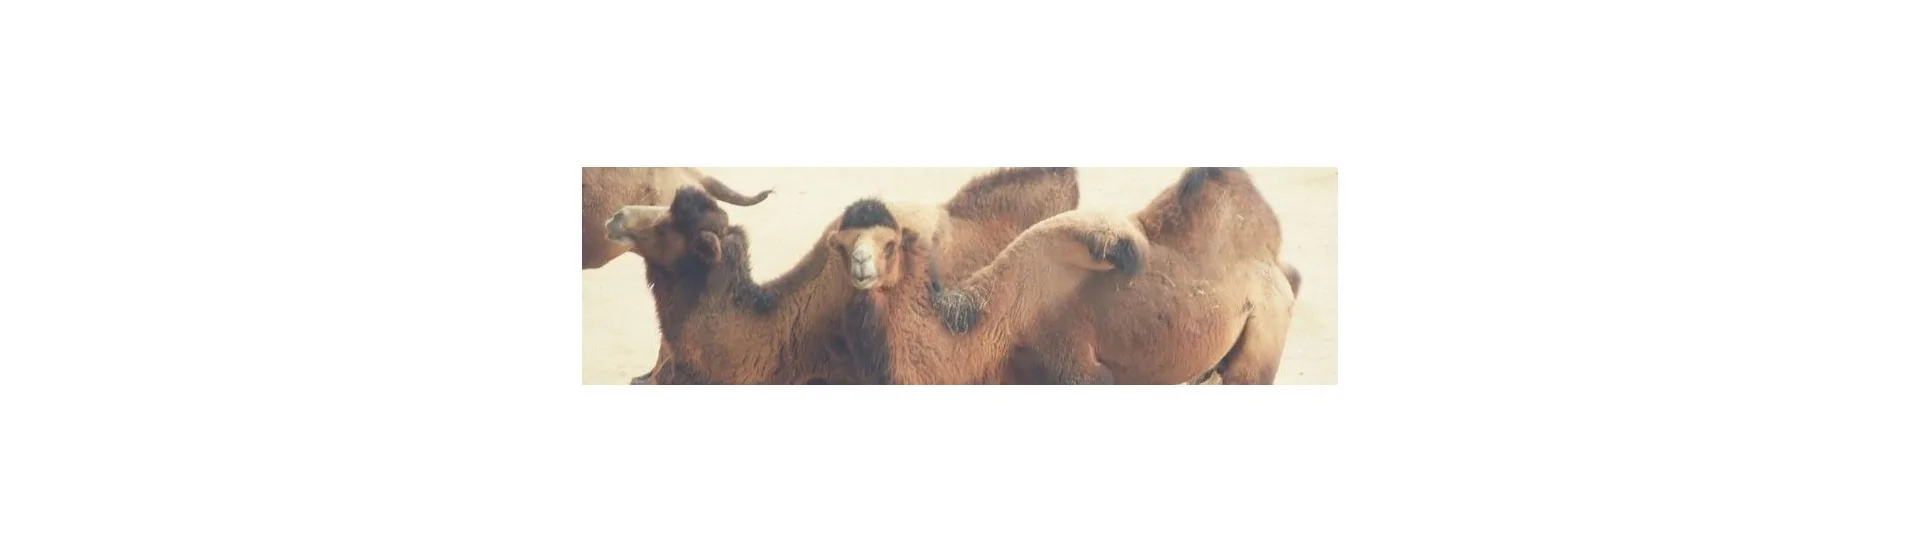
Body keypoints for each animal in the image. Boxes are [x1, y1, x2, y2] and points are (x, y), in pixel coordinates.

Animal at [842, 167, 1302, 384]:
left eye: (889, 244)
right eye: (843, 243)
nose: (860, 266)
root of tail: (1278, 265)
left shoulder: (1073, 364)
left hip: (1265, 330)